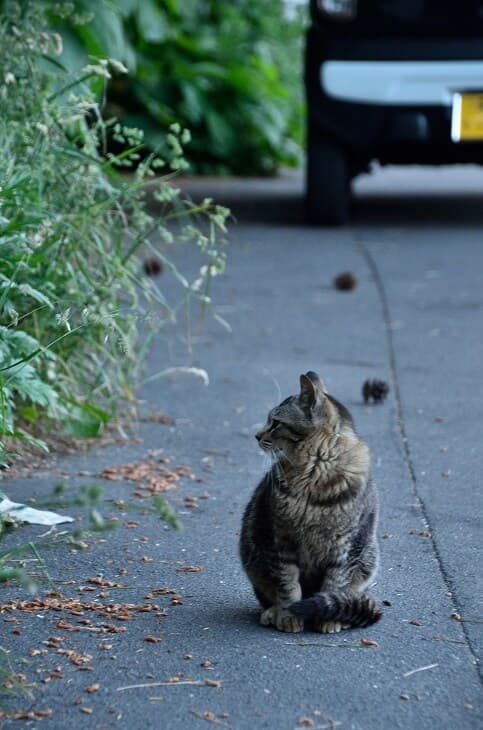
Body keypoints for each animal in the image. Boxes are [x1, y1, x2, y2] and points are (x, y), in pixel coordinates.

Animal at [241, 370, 382, 632]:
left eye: (275, 423)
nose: (256, 435)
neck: (315, 471)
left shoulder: (344, 550)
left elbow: (334, 585)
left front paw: (327, 619)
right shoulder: (281, 542)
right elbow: (288, 586)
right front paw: (288, 616)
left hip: (367, 557)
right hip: (252, 555)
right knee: (268, 596)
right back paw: (272, 613)